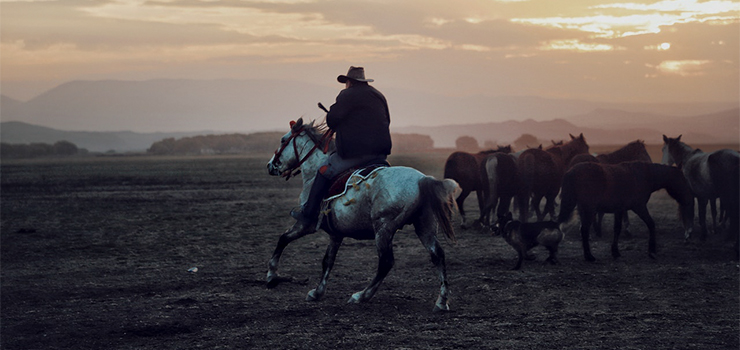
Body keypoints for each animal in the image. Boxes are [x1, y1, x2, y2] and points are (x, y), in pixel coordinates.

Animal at [266, 118, 462, 312]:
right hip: (424, 225)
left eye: (283, 140)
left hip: (383, 229)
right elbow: (327, 261)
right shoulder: (336, 234)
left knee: (386, 262)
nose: (270, 166)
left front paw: (272, 276)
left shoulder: (306, 224)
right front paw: (317, 292)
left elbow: (283, 239)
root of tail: (421, 180)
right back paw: (441, 301)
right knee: (437, 255)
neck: (314, 170)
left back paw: (361, 295)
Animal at [556, 161, 696, 260]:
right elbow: (651, 224)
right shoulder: (639, 207)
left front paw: (615, 251)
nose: (689, 198)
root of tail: (571, 172)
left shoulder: (620, 210)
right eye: (682, 179)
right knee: (583, 230)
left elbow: (617, 229)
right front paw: (652, 251)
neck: (645, 176)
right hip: (588, 210)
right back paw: (589, 256)